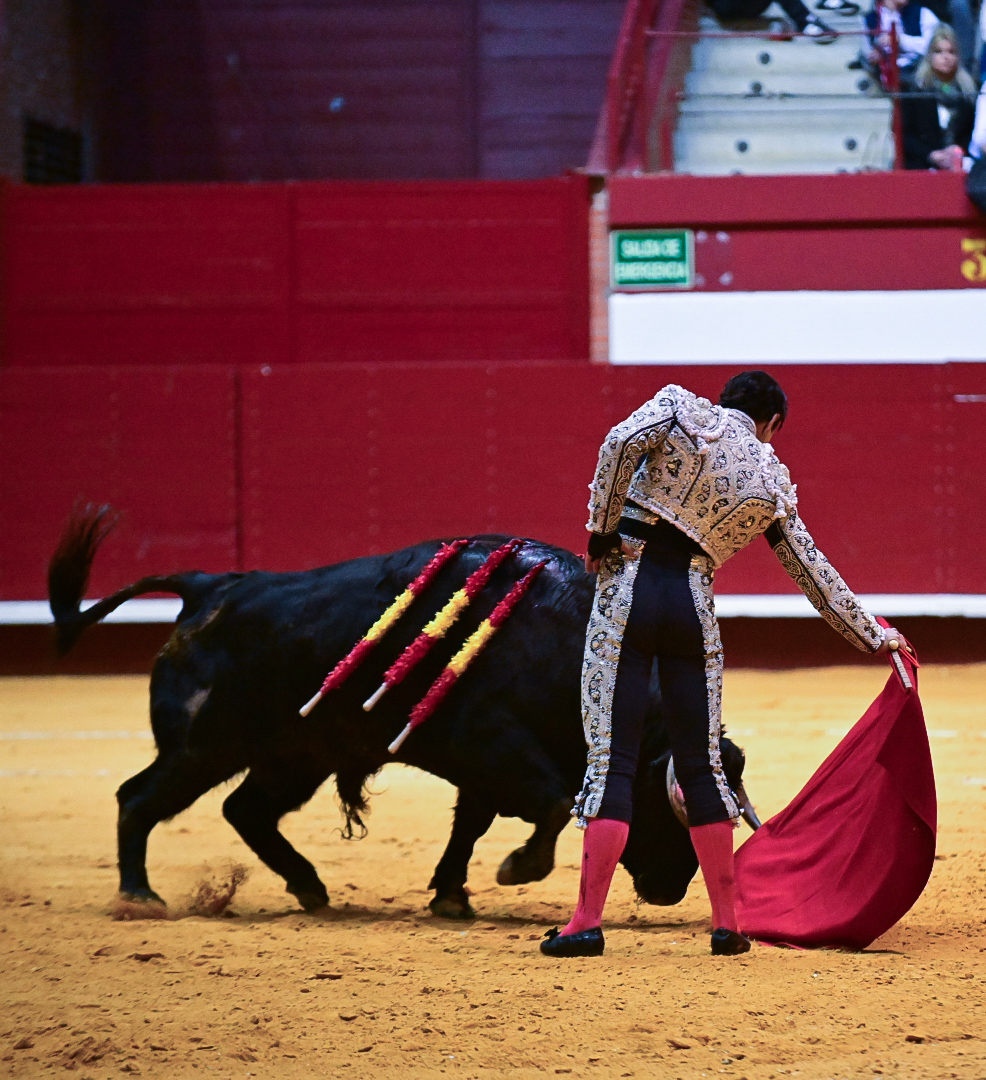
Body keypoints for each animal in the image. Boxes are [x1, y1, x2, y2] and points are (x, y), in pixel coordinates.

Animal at [48, 505, 757, 920]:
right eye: (671, 805)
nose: (673, 887)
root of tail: (208, 587)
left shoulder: (484, 766)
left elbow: (471, 825)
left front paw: (451, 896)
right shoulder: (492, 747)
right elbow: (551, 804)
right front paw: (515, 870)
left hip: (294, 755)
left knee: (243, 809)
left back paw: (310, 888)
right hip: (203, 747)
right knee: (140, 798)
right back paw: (140, 897)